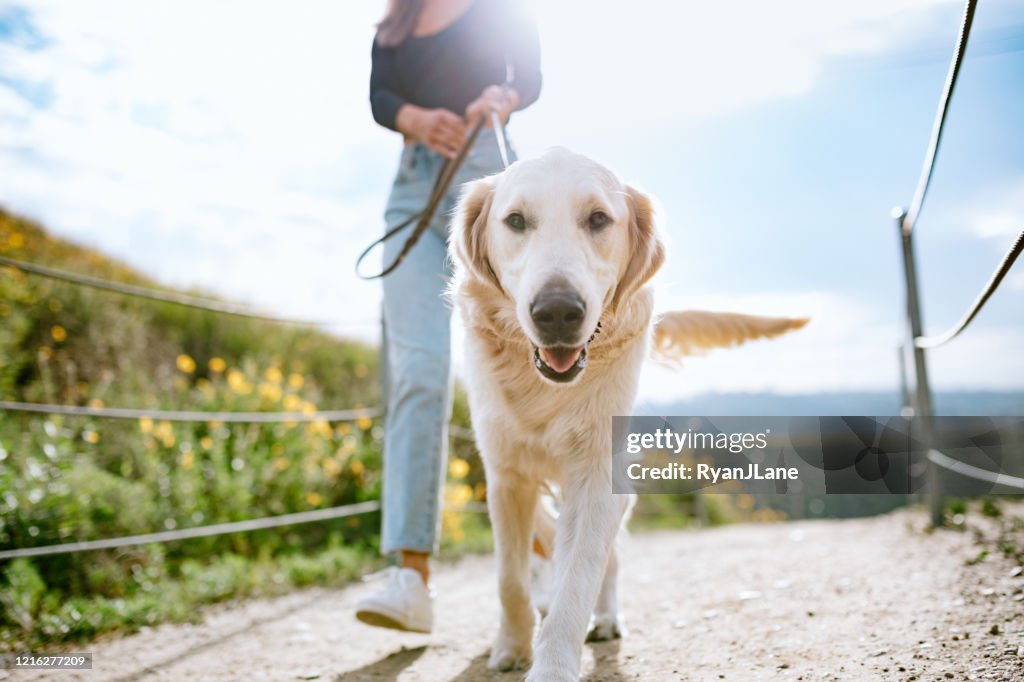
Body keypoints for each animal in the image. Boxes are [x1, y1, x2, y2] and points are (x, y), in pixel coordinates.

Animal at [448, 146, 806, 675]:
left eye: (598, 219)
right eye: (515, 221)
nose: (557, 312)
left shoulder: (597, 475)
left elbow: (578, 581)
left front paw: (552, 666)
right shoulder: (505, 476)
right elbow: (509, 578)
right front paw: (512, 645)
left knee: (607, 559)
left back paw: (606, 617)